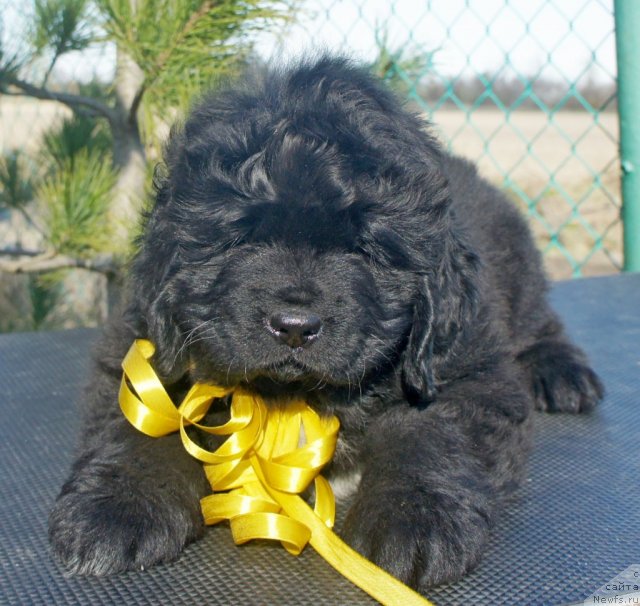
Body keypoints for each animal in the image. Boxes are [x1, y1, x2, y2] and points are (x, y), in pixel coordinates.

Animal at [48, 57, 600, 588]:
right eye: (240, 238)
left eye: (364, 248)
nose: (294, 325)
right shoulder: (143, 343)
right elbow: (145, 424)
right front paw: (115, 505)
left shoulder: (468, 368)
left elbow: (429, 432)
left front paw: (414, 518)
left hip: (517, 272)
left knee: (541, 325)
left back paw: (563, 374)